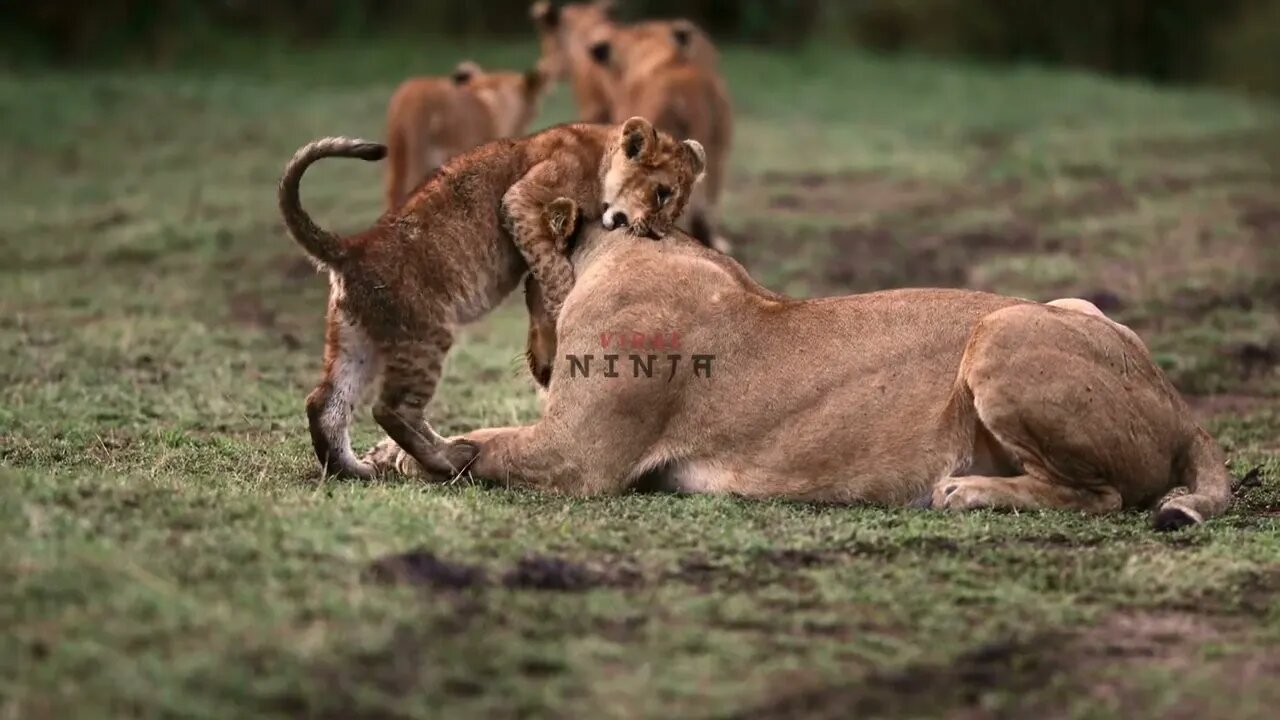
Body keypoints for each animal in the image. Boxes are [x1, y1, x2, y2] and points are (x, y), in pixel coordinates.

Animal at [371, 196, 1228, 527]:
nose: (538, 362)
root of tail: (1185, 408)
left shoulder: (575, 458)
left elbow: (483, 447)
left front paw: (404, 455)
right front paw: (383, 451)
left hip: (1002, 331)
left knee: (1102, 496)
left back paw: (968, 492)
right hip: (1067, 307)